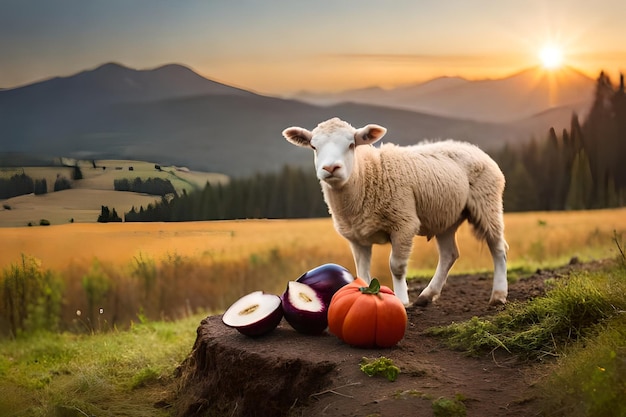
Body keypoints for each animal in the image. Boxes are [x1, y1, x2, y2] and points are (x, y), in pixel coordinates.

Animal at [282, 117, 508, 306]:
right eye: (314, 147)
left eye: (351, 145)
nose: (330, 168)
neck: (366, 176)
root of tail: (473, 148)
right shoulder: (357, 237)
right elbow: (361, 273)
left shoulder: (404, 223)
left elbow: (396, 267)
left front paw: (401, 300)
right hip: (445, 216)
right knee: (449, 254)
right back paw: (427, 295)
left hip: (487, 203)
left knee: (498, 248)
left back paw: (498, 295)